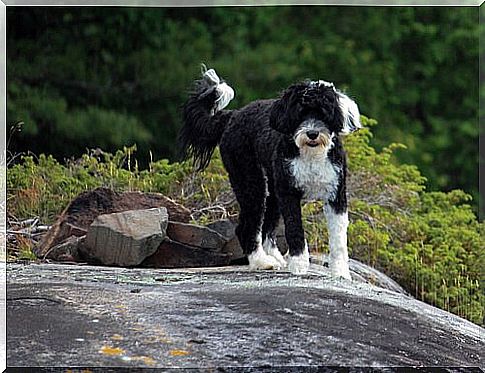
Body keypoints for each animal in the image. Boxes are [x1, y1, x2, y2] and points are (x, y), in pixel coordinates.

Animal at [179, 67, 360, 278]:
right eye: (300, 114)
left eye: (323, 113)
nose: (312, 133)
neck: (311, 155)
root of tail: (232, 115)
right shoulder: (289, 194)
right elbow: (295, 229)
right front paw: (299, 266)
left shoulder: (336, 195)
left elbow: (339, 239)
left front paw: (340, 272)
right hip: (250, 182)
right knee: (247, 227)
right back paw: (262, 261)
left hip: (272, 190)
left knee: (265, 226)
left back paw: (274, 257)